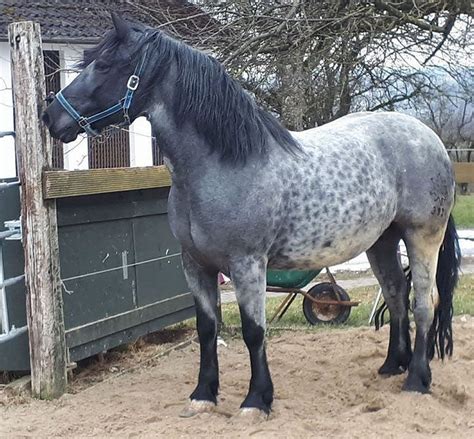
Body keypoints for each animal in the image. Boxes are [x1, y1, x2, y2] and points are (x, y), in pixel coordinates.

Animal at [42, 13, 462, 418]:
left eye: (105, 64)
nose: (50, 116)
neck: (222, 166)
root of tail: (431, 139)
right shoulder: (195, 264)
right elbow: (207, 329)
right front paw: (203, 395)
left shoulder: (247, 264)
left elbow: (253, 331)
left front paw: (257, 400)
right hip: (382, 241)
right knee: (396, 294)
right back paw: (393, 366)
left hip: (423, 235)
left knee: (425, 301)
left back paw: (417, 379)